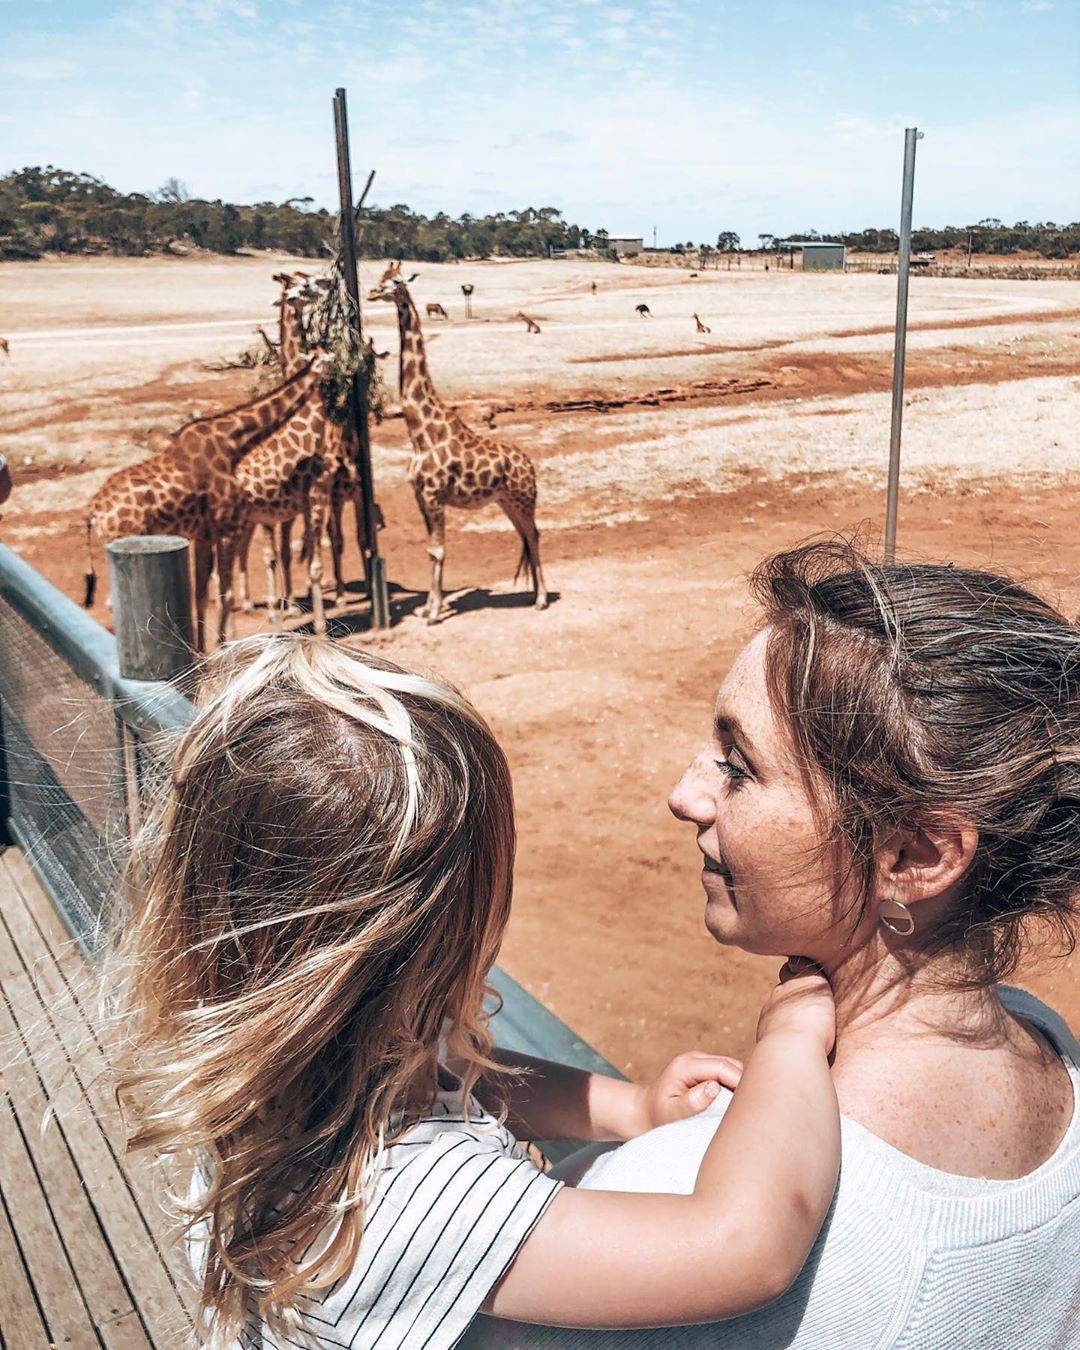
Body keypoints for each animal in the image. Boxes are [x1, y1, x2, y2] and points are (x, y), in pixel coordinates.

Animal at [86, 345, 330, 645]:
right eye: (326, 362)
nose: (335, 376)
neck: (233, 445)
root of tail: (93, 511)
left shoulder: (204, 534)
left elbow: (201, 595)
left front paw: (203, 648)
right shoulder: (227, 529)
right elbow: (225, 592)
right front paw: (222, 644)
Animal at [367, 265, 548, 623]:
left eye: (396, 281)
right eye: (380, 277)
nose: (371, 293)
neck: (419, 433)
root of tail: (529, 463)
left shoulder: (434, 496)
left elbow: (438, 551)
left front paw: (435, 612)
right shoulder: (421, 497)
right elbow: (430, 550)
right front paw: (426, 607)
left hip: (523, 498)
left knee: (534, 534)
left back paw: (542, 598)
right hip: (506, 501)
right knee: (525, 535)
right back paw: (532, 594)